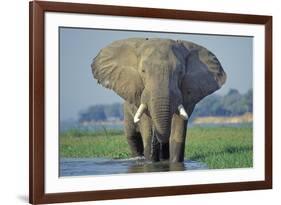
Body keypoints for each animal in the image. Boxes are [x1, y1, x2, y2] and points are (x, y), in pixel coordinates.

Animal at [91, 38, 226, 163]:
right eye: (143, 71)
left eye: (180, 72)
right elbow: (146, 124)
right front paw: (150, 162)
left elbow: (178, 126)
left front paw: (174, 162)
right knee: (132, 137)